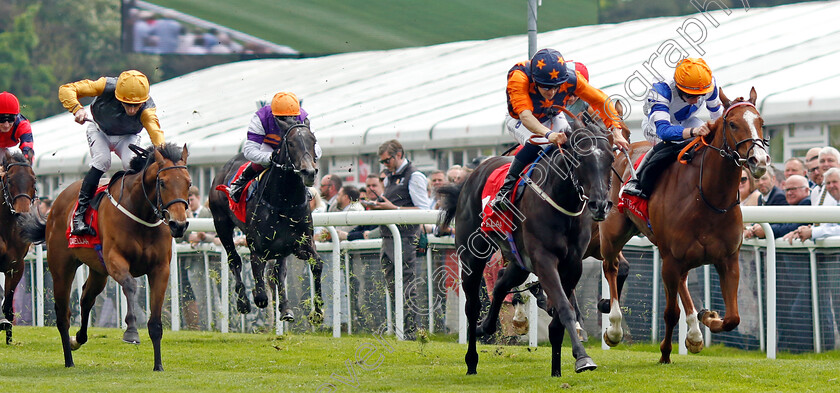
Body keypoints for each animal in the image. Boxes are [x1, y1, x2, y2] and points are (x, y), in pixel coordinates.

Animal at [20, 142, 192, 370]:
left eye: (189, 183)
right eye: (162, 183)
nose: (179, 225)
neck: (141, 213)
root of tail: (56, 204)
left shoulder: (160, 269)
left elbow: (155, 322)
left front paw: (158, 366)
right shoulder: (115, 260)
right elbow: (130, 285)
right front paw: (131, 332)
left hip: (98, 271)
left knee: (86, 298)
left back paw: (78, 339)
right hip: (61, 268)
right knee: (63, 314)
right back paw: (69, 359)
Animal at [210, 121, 324, 324]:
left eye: (313, 141)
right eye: (291, 143)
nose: (309, 172)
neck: (285, 202)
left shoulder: (300, 242)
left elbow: (315, 264)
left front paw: (317, 312)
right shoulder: (258, 248)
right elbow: (260, 289)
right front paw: (255, 296)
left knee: (279, 272)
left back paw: (285, 308)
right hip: (221, 224)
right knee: (234, 260)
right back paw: (243, 302)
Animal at [440, 111, 616, 376]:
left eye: (610, 158)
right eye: (579, 158)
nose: (600, 205)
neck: (561, 200)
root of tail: (471, 176)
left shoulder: (573, 264)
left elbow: (560, 315)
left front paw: (558, 368)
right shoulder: (544, 260)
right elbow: (564, 307)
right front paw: (583, 358)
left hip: (519, 261)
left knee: (500, 283)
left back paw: (486, 327)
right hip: (472, 255)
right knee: (472, 306)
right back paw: (471, 360)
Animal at [600, 87, 772, 362]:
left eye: (761, 122)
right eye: (733, 124)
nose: (759, 161)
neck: (709, 198)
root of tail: (622, 151)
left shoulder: (728, 259)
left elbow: (733, 318)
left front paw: (708, 317)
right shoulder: (671, 259)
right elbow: (671, 313)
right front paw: (665, 353)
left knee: (681, 282)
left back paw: (694, 333)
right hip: (613, 234)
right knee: (612, 267)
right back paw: (614, 330)